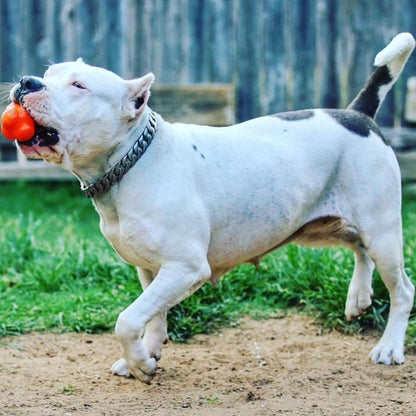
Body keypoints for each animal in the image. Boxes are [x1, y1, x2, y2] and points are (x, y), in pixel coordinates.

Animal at [10, 33, 416, 384]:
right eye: (49, 73)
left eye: (79, 86)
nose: (27, 81)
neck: (132, 161)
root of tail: (358, 115)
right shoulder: (150, 269)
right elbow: (154, 317)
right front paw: (148, 354)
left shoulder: (185, 268)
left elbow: (128, 319)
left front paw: (140, 362)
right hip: (320, 226)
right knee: (358, 247)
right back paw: (358, 295)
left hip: (382, 230)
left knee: (401, 288)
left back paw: (389, 347)